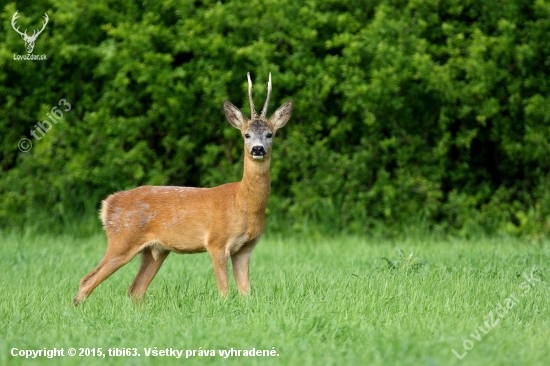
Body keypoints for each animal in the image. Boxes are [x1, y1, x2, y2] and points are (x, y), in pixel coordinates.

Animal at [73, 72, 294, 306]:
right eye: (246, 135)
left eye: (270, 134)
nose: (258, 149)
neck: (244, 202)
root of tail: (108, 204)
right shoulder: (216, 242)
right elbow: (224, 291)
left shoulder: (245, 249)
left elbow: (246, 293)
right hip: (121, 240)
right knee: (87, 280)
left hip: (155, 251)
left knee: (135, 290)